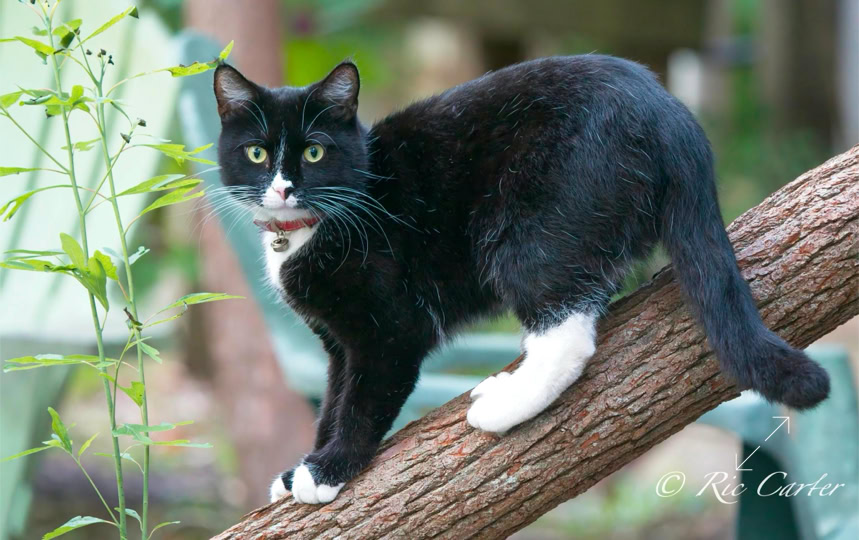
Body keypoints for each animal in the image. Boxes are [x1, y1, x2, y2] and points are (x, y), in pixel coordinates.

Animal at [212, 55, 830, 505]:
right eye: (257, 152)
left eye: (315, 152)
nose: (284, 188)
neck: (306, 231)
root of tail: (669, 111)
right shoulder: (338, 344)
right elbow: (333, 398)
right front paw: (300, 468)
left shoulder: (389, 330)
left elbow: (363, 401)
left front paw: (328, 469)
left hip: (535, 222)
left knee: (566, 329)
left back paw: (503, 402)